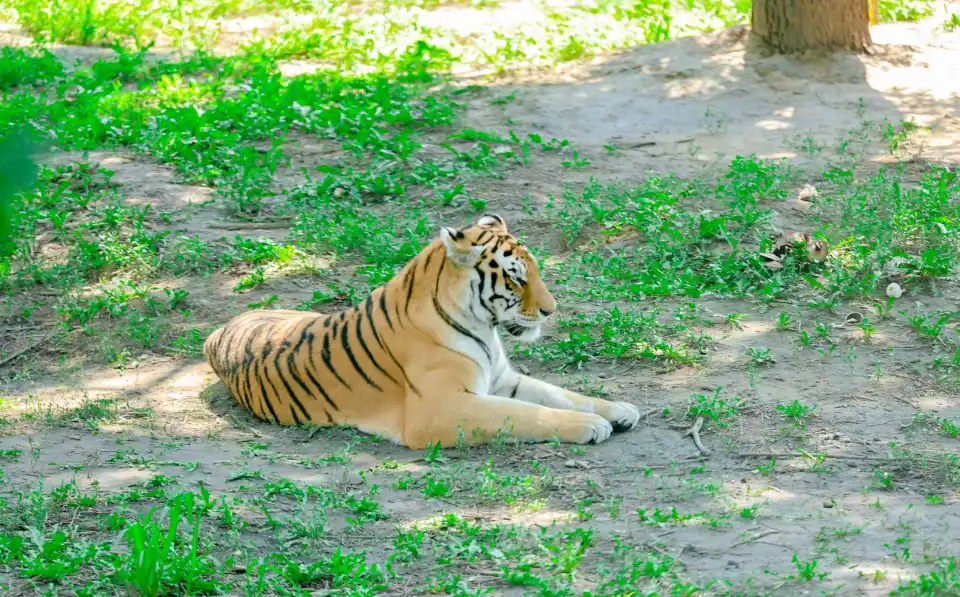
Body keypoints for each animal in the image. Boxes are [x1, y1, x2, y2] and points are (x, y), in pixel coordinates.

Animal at [203, 214, 641, 449]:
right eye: (517, 278)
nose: (552, 310)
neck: (484, 326)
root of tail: (221, 328)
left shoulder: (502, 379)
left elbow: (562, 394)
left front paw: (619, 409)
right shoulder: (444, 408)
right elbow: (527, 414)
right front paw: (589, 426)